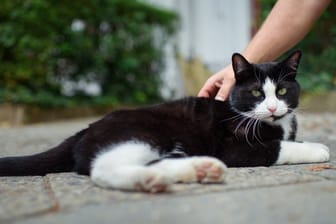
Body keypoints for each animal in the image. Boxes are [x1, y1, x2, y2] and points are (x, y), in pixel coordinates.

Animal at [0, 50, 330, 192]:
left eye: (283, 91)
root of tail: (85, 130)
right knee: (102, 168)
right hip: (143, 132)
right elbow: (277, 147)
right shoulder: (234, 145)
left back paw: (199, 169)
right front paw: (318, 148)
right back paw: (149, 180)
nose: (273, 108)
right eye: (256, 92)